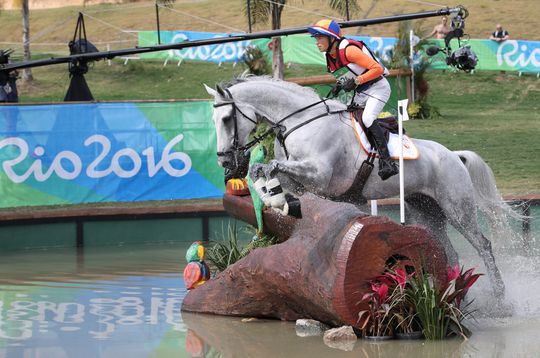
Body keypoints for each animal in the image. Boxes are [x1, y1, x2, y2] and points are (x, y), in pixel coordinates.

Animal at [206, 76, 516, 300]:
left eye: (226, 119)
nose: (225, 162)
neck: (299, 122)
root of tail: (454, 155)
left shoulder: (319, 175)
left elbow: (272, 166)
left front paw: (274, 196)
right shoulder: (304, 180)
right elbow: (268, 171)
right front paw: (275, 198)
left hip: (457, 210)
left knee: (484, 245)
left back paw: (500, 298)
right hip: (427, 211)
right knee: (449, 251)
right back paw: (450, 292)